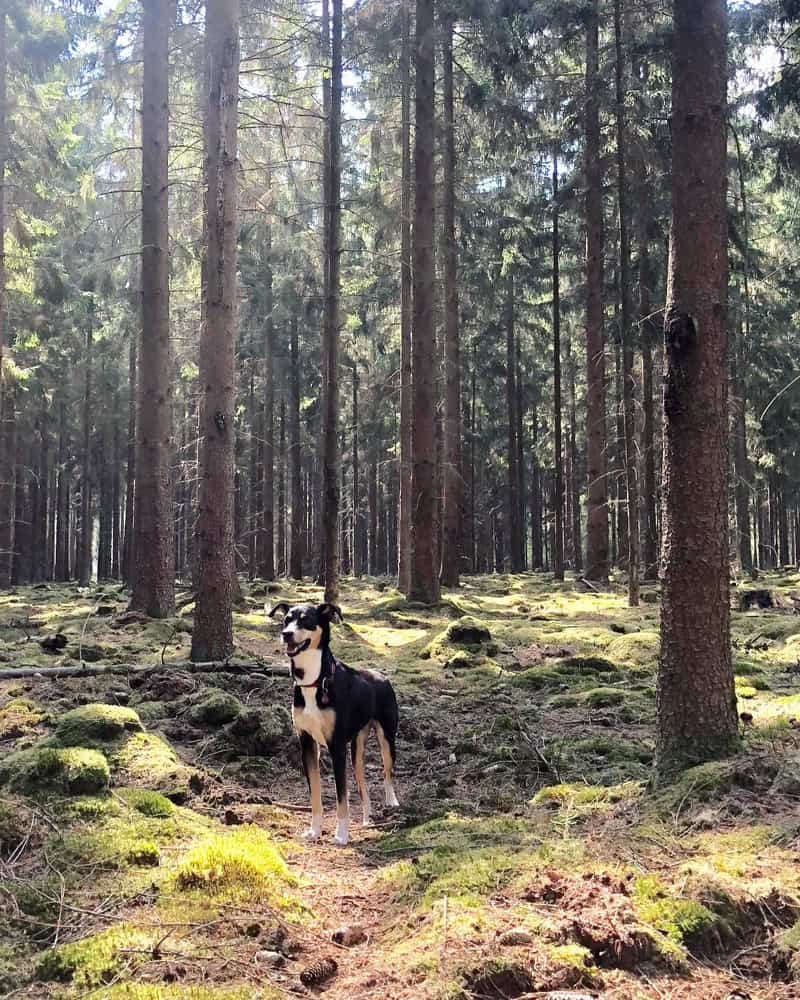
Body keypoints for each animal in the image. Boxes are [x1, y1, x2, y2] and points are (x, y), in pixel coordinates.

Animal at [268, 600, 404, 844]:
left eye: (305, 620)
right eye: (286, 620)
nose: (286, 634)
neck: (314, 682)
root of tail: (382, 676)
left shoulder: (336, 746)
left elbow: (342, 796)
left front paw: (341, 835)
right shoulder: (307, 744)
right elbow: (315, 795)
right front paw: (314, 831)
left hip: (387, 738)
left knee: (387, 773)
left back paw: (391, 801)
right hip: (356, 750)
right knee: (362, 785)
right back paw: (367, 819)